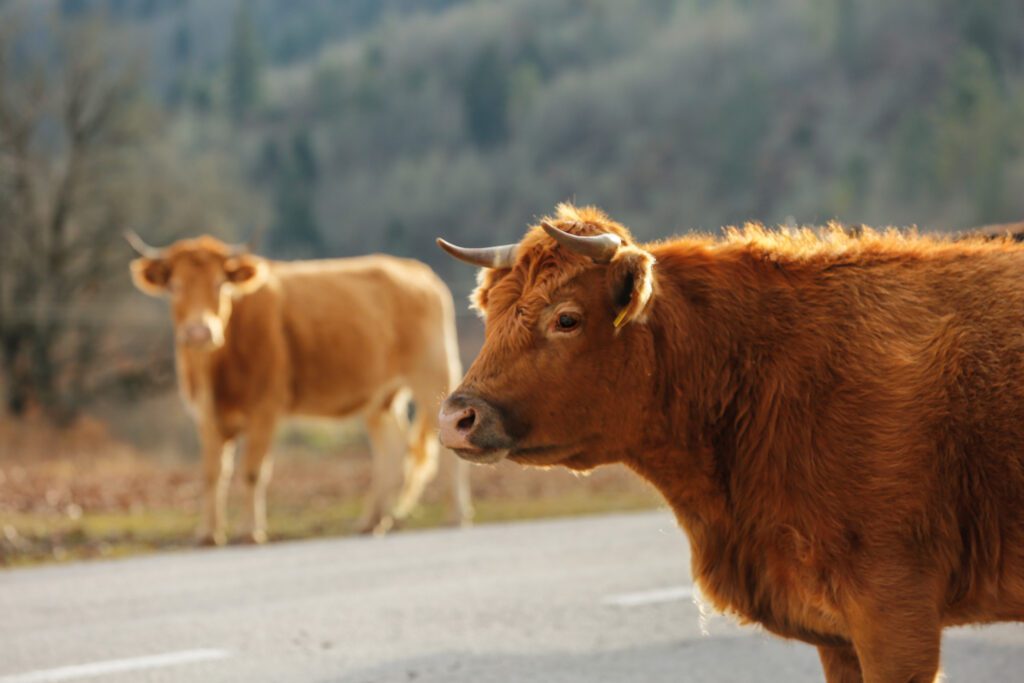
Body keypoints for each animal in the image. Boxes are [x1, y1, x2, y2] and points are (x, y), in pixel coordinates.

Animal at [129, 235, 475, 544]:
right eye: (175, 287)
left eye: (220, 284)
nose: (199, 332)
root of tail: (413, 269)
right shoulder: (206, 417)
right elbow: (212, 474)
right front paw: (208, 533)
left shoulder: (265, 410)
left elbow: (252, 471)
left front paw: (249, 531)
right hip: (379, 399)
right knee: (391, 449)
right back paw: (372, 521)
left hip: (433, 375)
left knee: (445, 446)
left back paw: (454, 516)